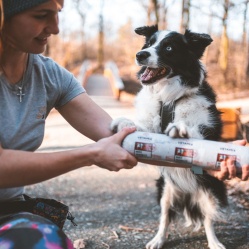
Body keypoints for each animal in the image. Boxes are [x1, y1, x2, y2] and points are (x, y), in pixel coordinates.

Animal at [111, 24, 228, 249]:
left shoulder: (209, 132)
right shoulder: (153, 129)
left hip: (210, 190)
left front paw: (181, 128)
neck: (169, 98)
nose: (140, 55)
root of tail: (188, 194)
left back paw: (214, 243)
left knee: (208, 219)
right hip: (165, 190)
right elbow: (143, 129)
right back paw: (157, 240)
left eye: (169, 48)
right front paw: (125, 122)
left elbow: (195, 131)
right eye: (148, 44)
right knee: (165, 218)